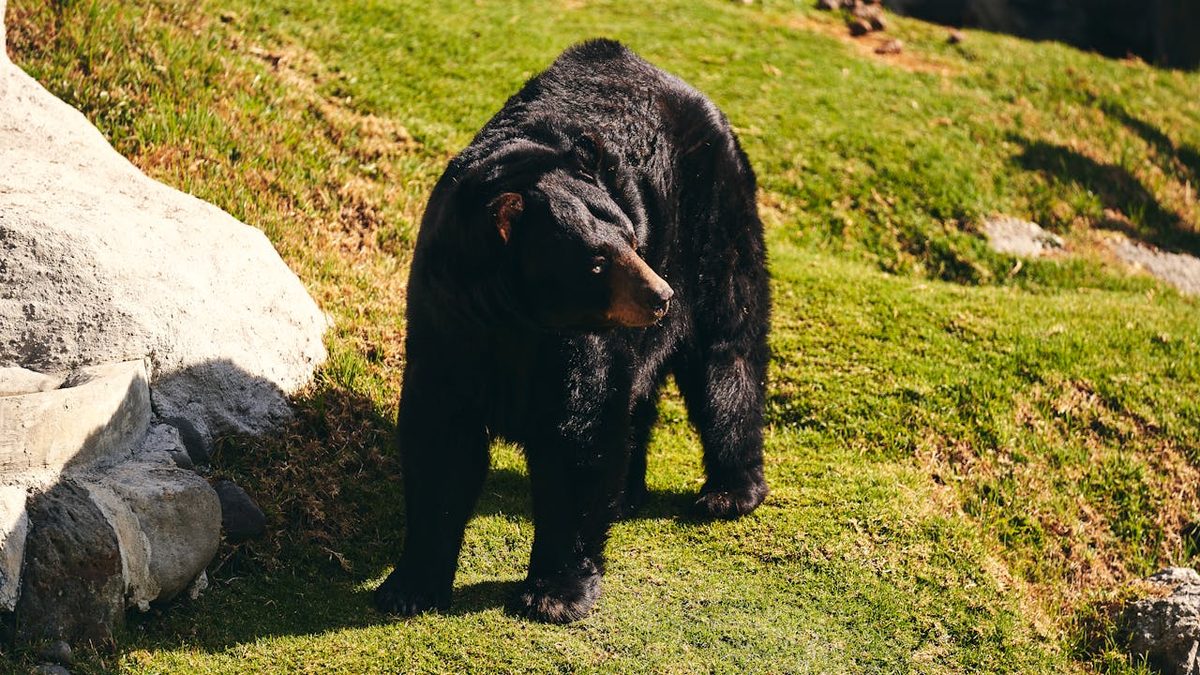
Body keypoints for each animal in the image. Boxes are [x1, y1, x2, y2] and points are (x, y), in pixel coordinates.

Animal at [374, 38, 770, 624]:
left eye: (632, 236)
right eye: (597, 263)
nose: (660, 297)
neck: (515, 319)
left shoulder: (575, 340)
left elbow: (580, 432)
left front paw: (556, 593)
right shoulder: (447, 320)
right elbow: (443, 438)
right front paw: (409, 585)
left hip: (715, 219)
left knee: (728, 347)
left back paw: (730, 490)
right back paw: (630, 492)